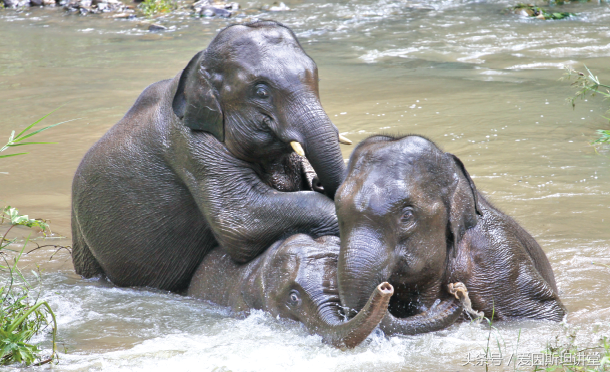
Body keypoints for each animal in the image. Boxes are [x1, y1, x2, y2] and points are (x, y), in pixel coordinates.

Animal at [70, 20, 346, 292]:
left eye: (315, 77)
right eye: (261, 92)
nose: (319, 181)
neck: (197, 68)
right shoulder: (191, 147)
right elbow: (241, 221)